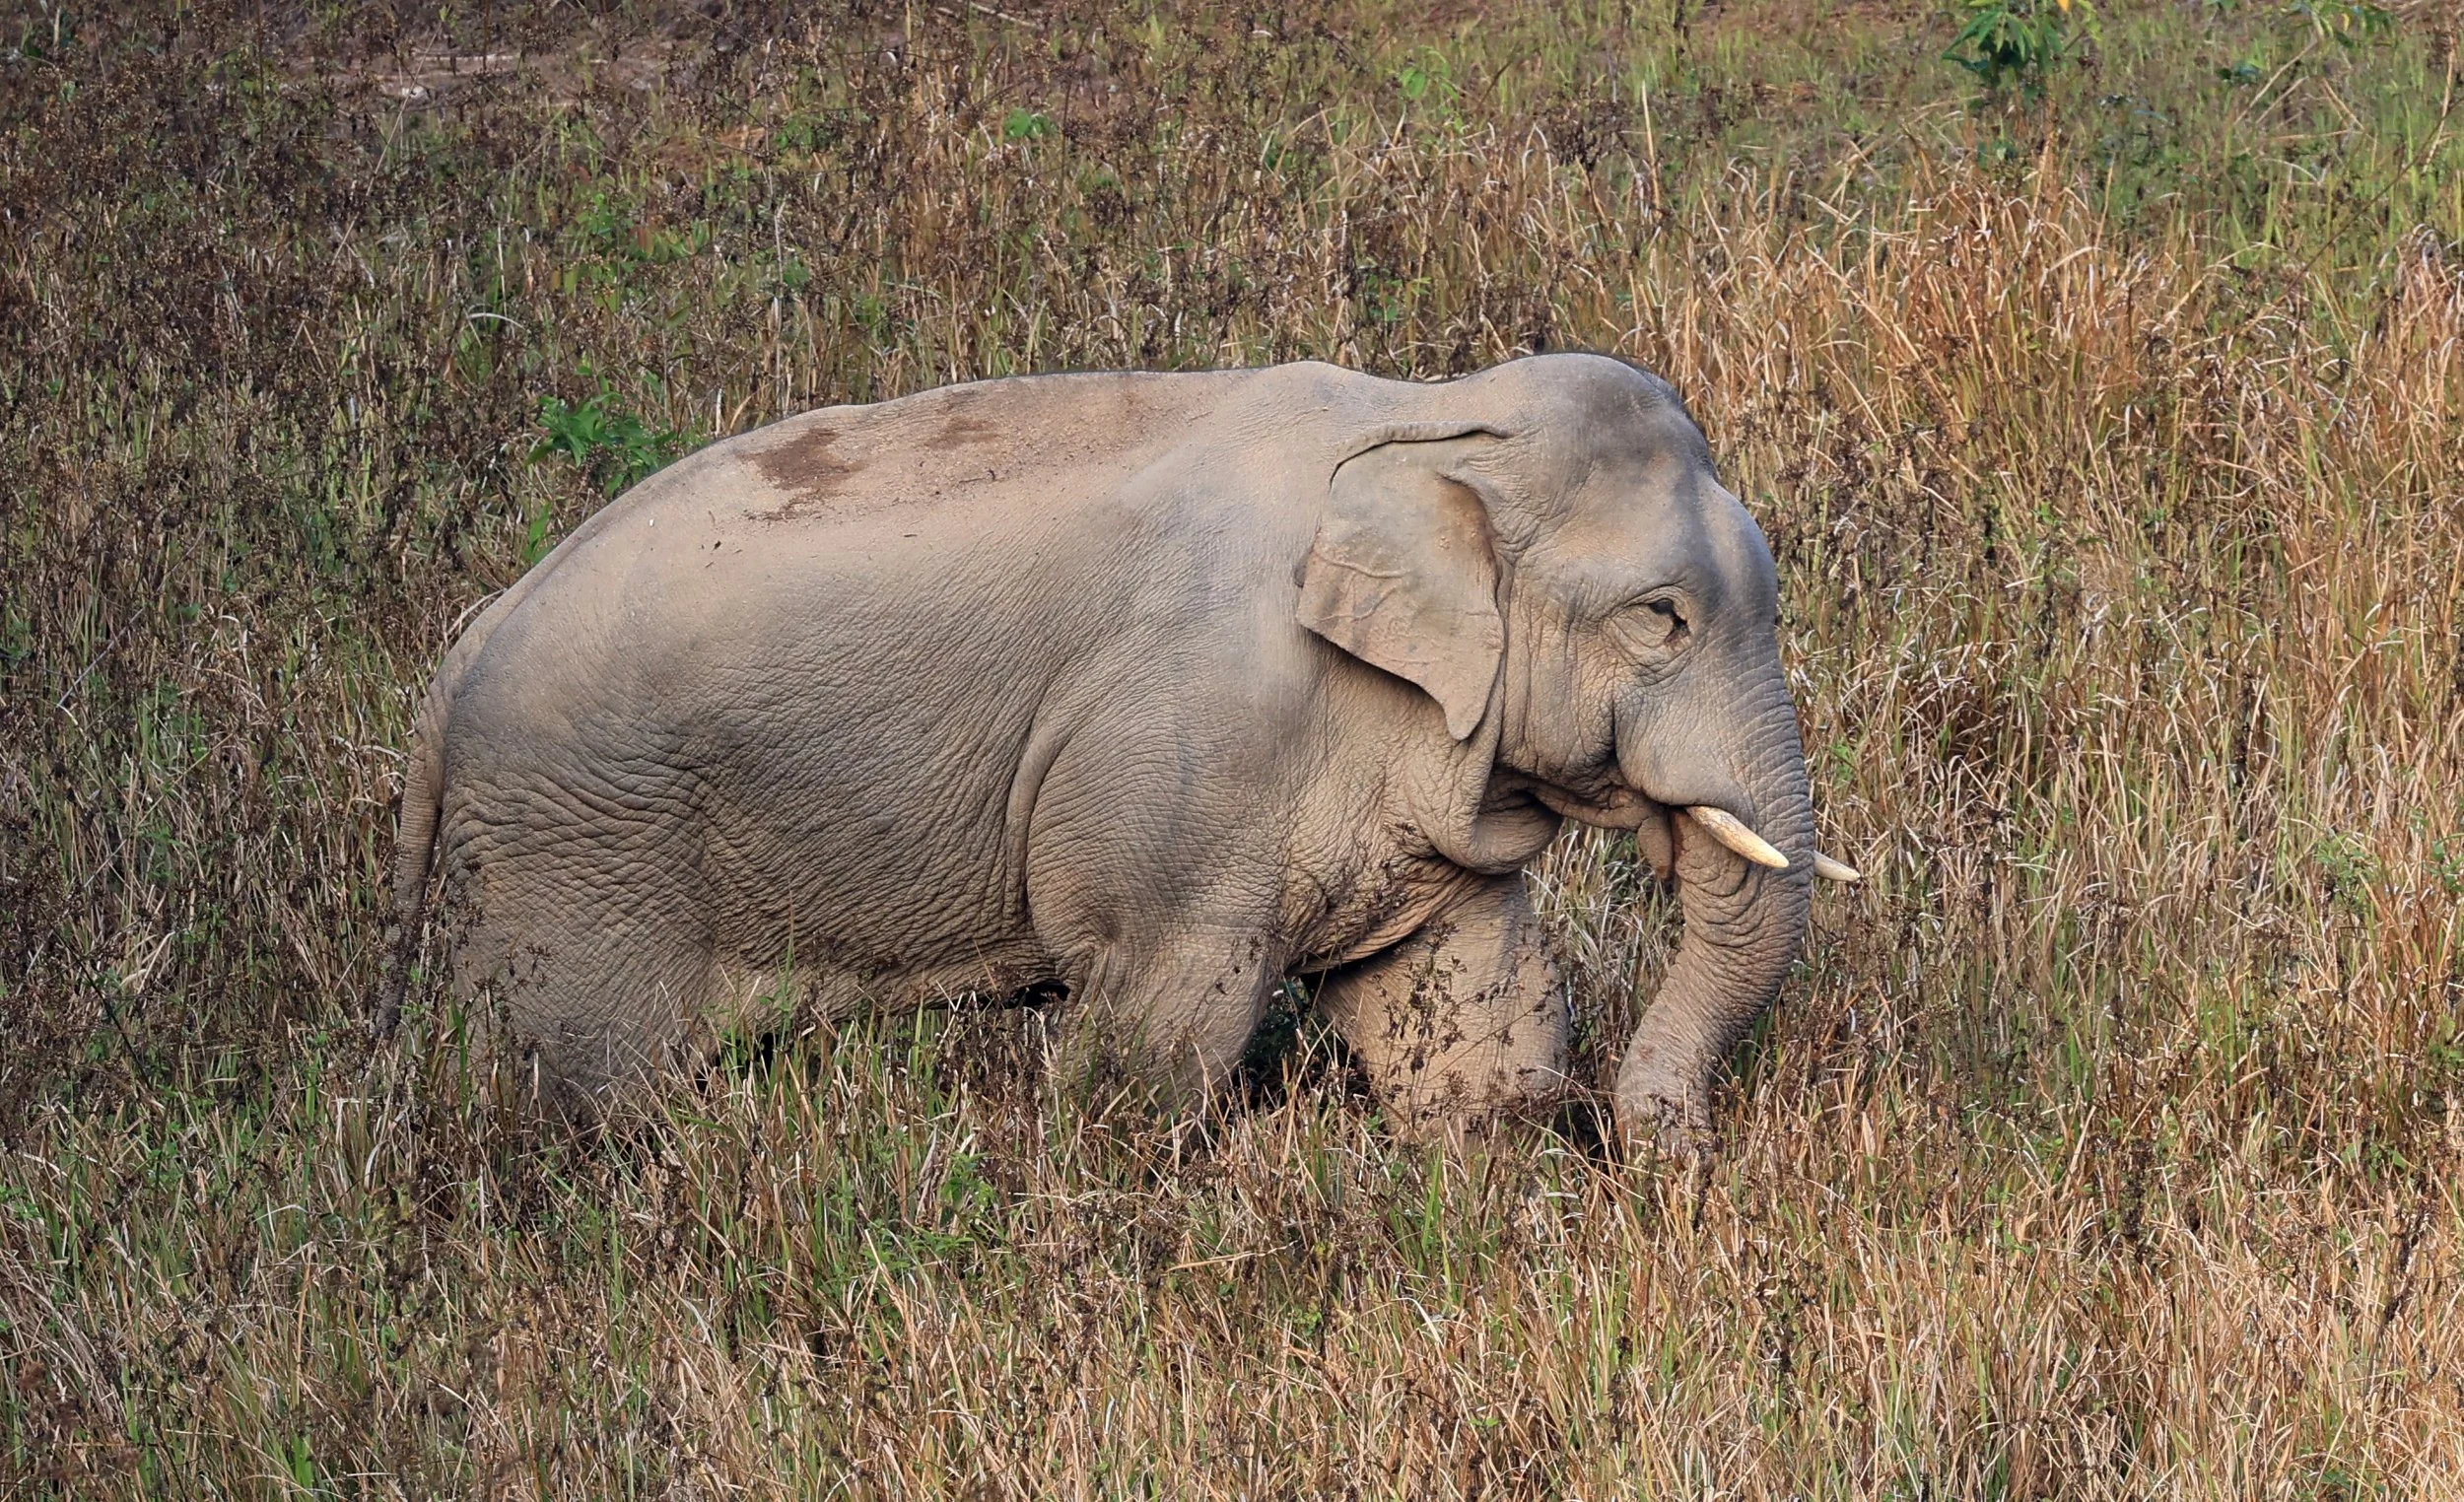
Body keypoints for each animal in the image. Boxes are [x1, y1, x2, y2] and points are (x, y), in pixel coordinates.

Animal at [378, 352, 1855, 1144]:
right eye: (1660, 617)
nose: (1652, 1147)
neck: (1427, 411)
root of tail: (459, 653)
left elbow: (1463, 997)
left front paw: (1490, 1153)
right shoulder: (1189, 766)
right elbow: (1163, 1022)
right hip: (578, 862)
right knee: (596, 1093)